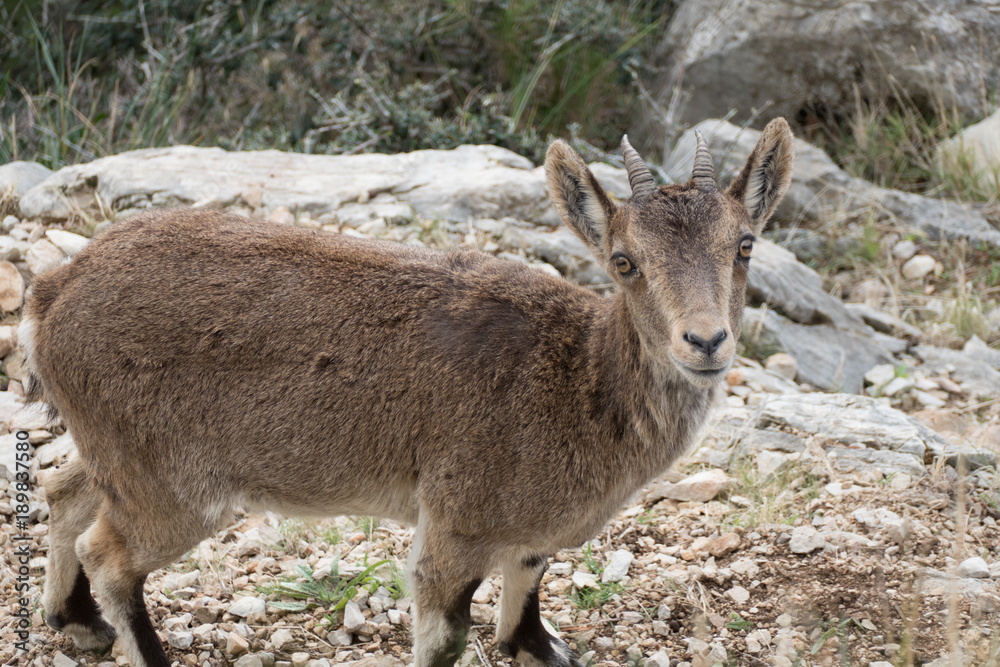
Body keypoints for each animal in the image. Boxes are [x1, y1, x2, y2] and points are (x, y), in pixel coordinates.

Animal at [26, 118, 793, 667]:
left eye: (745, 245)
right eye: (625, 261)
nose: (704, 341)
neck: (580, 379)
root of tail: (55, 291)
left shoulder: (526, 528)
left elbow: (528, 583)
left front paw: (537, 646)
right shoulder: (457, 519)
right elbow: (444, 632)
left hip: (117, 452)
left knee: (64, 491)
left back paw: (75, 622)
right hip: (175, 483)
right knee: (109, 555)